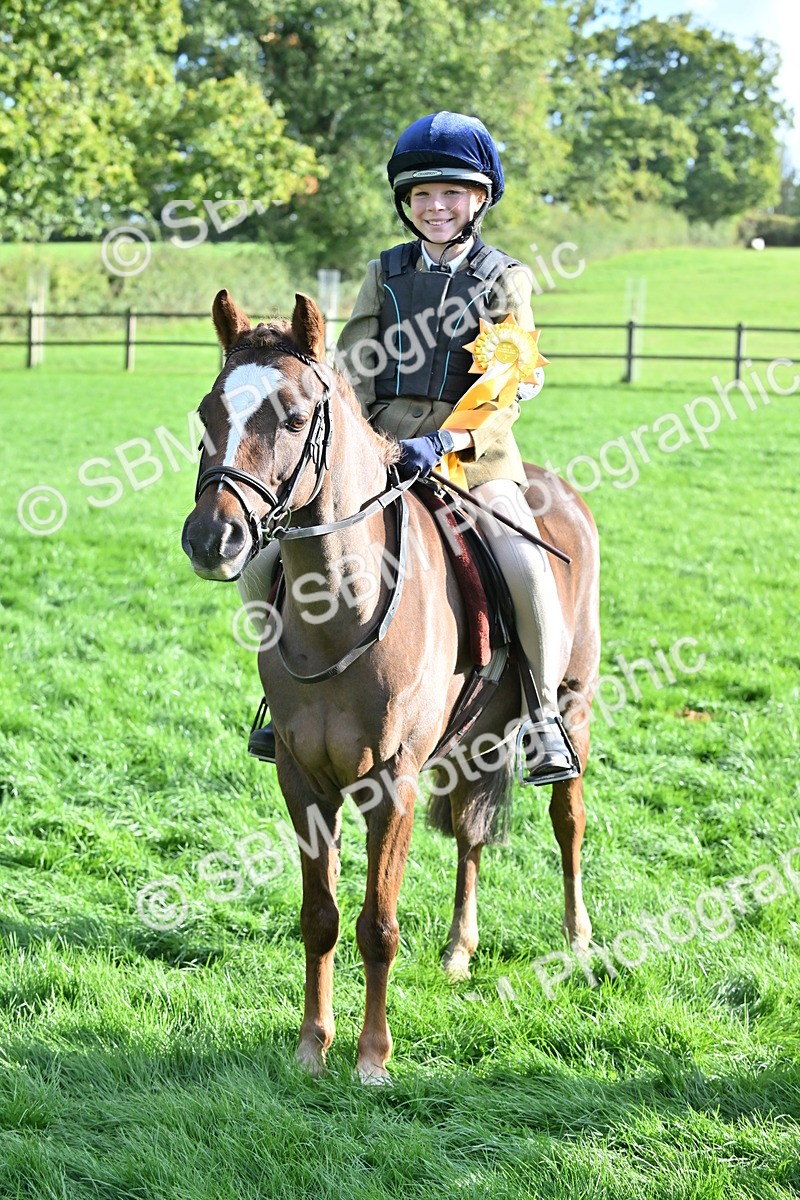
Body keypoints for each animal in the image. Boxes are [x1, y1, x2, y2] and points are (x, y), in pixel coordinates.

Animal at [181, 290, 601, 1082]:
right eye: (207, 414)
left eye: (292, 418)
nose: (211, 540)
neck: (341, 608)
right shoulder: (302, 779)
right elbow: (320, 917)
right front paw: (312, 1046)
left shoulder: (392, 780)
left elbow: (377, 923)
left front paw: (372, 1058)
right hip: (473, 740)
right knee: (469, 832)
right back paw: (460, 950)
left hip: (572, 707)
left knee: (568, 821)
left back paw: (579, 943)